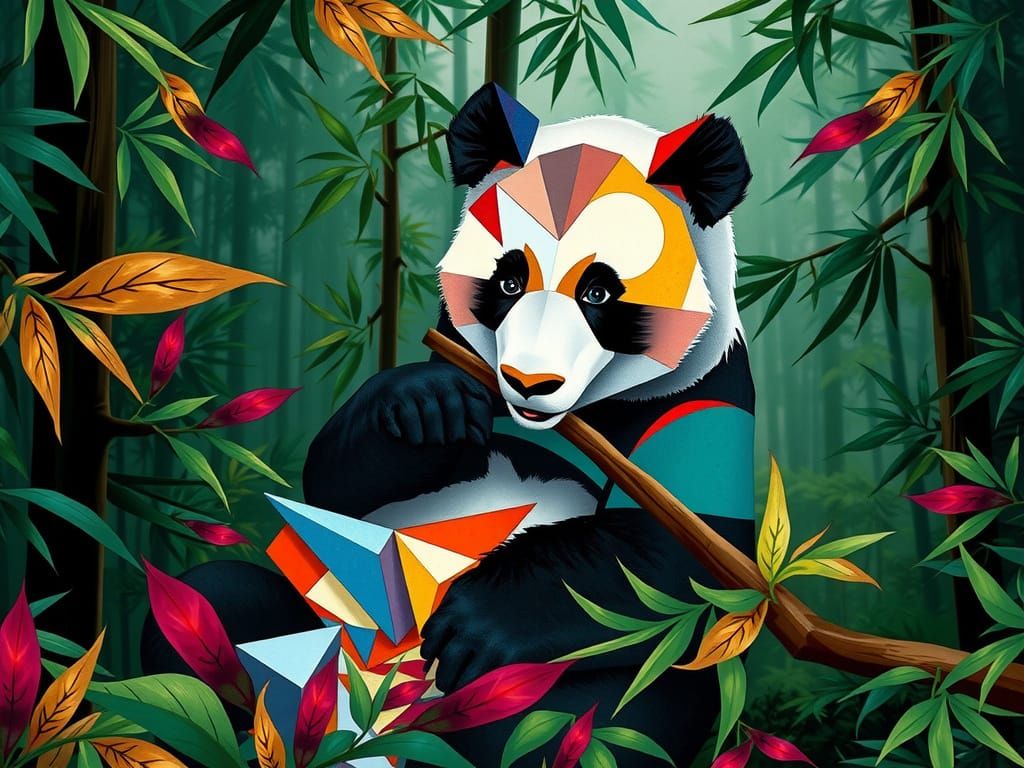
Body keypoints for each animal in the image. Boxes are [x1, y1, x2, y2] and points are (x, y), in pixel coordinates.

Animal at [143, 83, 755, 768]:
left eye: (599, 294)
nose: (528, 383)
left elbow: (676, 555)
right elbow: (334, 483)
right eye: (509, 280)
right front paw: (424, 406)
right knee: (213, 610)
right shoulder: (458, 350)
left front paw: (472, 622)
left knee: (592, 722)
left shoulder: (705, 400)